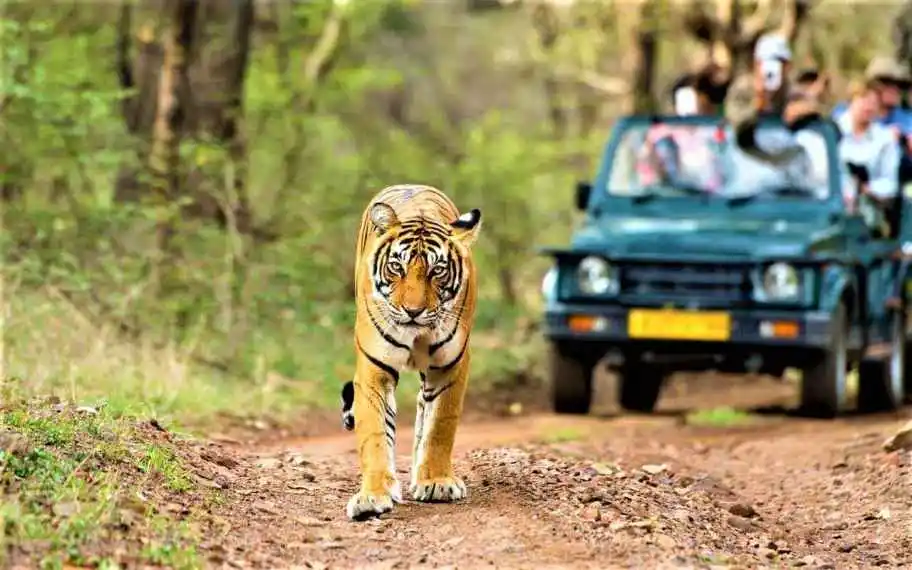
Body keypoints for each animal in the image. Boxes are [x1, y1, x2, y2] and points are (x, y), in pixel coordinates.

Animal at [344, 183, 484, 520]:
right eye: (397, 267)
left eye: (437, 271)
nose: (413, 311)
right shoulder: (374, 368)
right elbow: (375, 433)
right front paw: (373, 496)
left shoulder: (450, 366)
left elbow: (440, 425)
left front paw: (436, 482)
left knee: (424, 409)